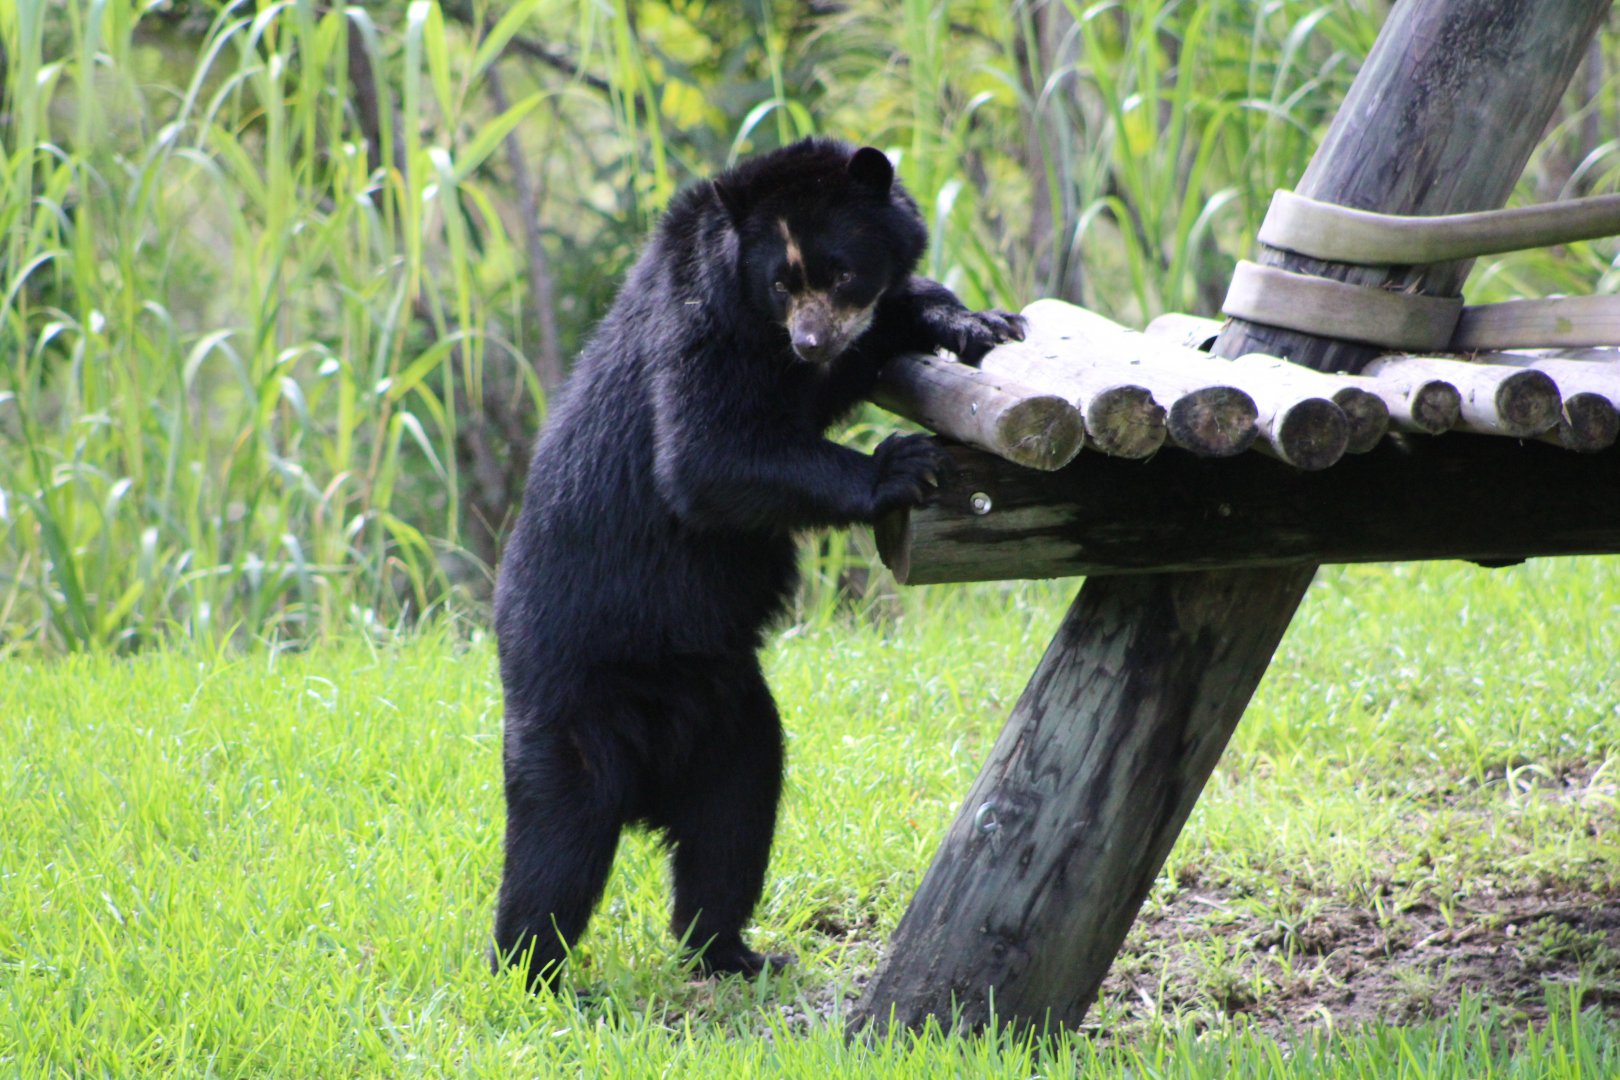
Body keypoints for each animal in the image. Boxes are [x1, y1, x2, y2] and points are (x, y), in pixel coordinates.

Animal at [491, 137, 1025, 988]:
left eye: (840, 271)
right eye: (780, 283)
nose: (811, 339)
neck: (763, 330)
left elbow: (876, 336)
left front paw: (983, 320)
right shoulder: (702, 329)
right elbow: (709, 454)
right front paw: (900, 464)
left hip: (734, 719)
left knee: (734, 824)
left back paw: (732, 952)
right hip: (570, 711)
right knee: (554, 846)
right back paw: (533, 975)